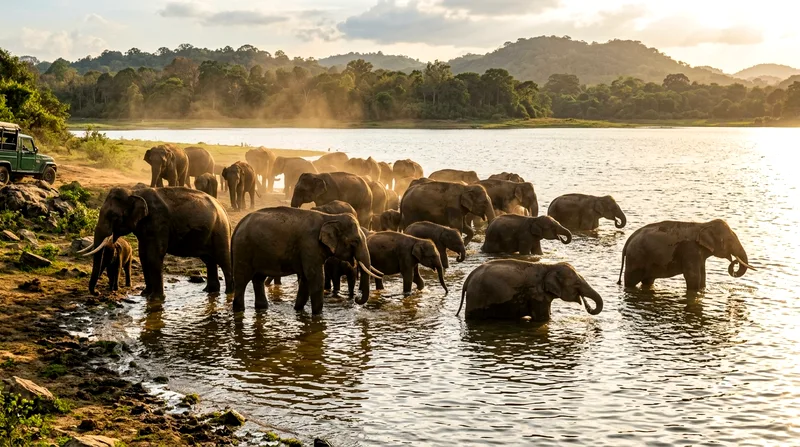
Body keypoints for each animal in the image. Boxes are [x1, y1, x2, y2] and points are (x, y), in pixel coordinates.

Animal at [78, 187, 233, 299]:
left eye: (113, 216)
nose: (97, 293)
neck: (134, 193)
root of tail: (223, 208)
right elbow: (143, 255)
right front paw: (145, 294)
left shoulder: (159, 222)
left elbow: (154, 256)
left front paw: (156, 298)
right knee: (209, 260)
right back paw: (209, 291)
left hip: (221, 231)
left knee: (224, 260)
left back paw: (228, 293)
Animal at [231, 207, 381, 314]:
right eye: (355, 241)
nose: (356, 298)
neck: (330, 217)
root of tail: (238, 225)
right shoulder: (310, 245)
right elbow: (315, 277)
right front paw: (318, 315)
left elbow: (305, 279)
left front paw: (298, 310)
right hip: (243, 250)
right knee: (241, 281)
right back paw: (239, 310)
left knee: (258, 279)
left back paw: (262, 308)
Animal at [457, 260, 603, 321]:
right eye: (577, 283)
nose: (587, 306)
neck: (549, 266)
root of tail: (468, 279)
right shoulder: (536, 295)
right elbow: (543, 319)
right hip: (477, 296)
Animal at [618, 219, 753, 290]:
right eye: (730, 240)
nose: (734, 261)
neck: (704, 224)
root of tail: (630, 238)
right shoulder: (690, 251)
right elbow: (693, 277)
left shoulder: (699, 255)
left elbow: (702, 276)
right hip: (636, 258)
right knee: (630, 280)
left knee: (648, 280)